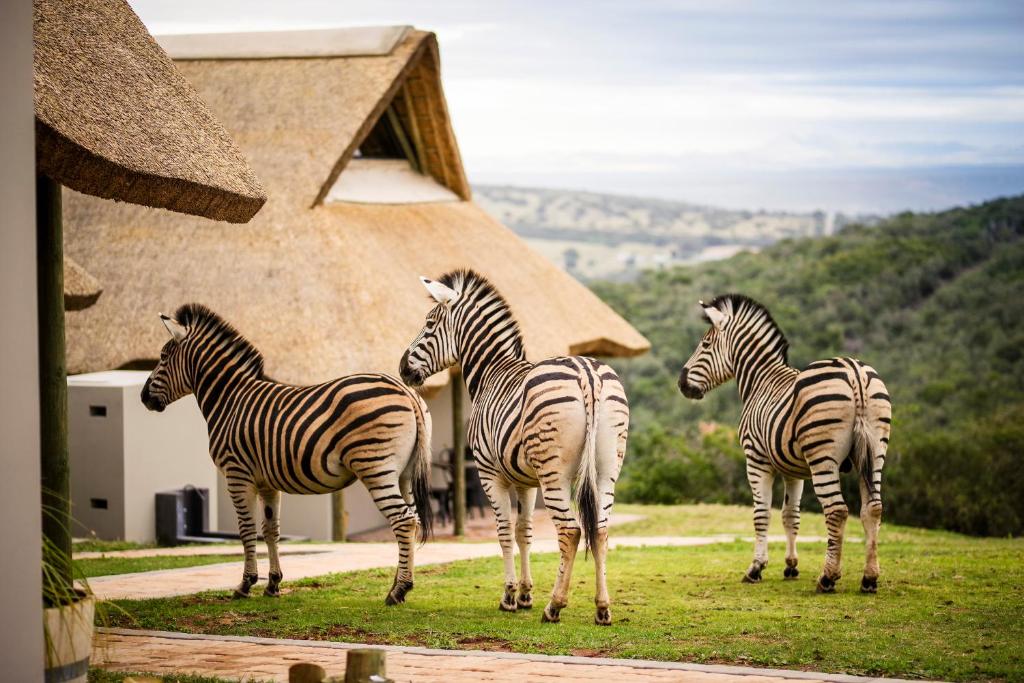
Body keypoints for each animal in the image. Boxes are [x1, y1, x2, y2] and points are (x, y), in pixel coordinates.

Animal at [140, 305, 432, 602]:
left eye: (162, 357)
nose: (142, 397)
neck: (230, 399)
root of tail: (406, 391)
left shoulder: (237, 474)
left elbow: (246, 530)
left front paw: (245, 584)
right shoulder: (267, 482)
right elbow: (271, 530)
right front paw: (273, 583)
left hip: (375, 467)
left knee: (403, 520)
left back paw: (398, 590)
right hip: (405, 473)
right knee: (413, 519)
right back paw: (401, 583)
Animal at [395, 270, 626, 626]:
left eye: (430, 323)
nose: (402, 369)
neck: (491, 373)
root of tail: (587, 373)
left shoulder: (491, 474)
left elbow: (504, 532)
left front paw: (509, 596)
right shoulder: (526, 481)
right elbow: (524, 531)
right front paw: (526, 594)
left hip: (554, 474)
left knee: (571, 531)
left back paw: (554, 606)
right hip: (606, 469)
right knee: (599, 531)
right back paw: (602, 608)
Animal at [675, 294, 892, 593]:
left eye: (705, 344)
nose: (681, 384)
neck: (760, 380)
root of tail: (854, 371)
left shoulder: (756, 460)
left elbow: (761, 514)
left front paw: (756, 568)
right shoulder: (794, 470)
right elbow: (791, 515)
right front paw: (791, 566)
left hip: (823, 458)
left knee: (837, 511)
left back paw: (828, 577)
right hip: (875, 453)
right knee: (873, 508)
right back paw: (869, 578)